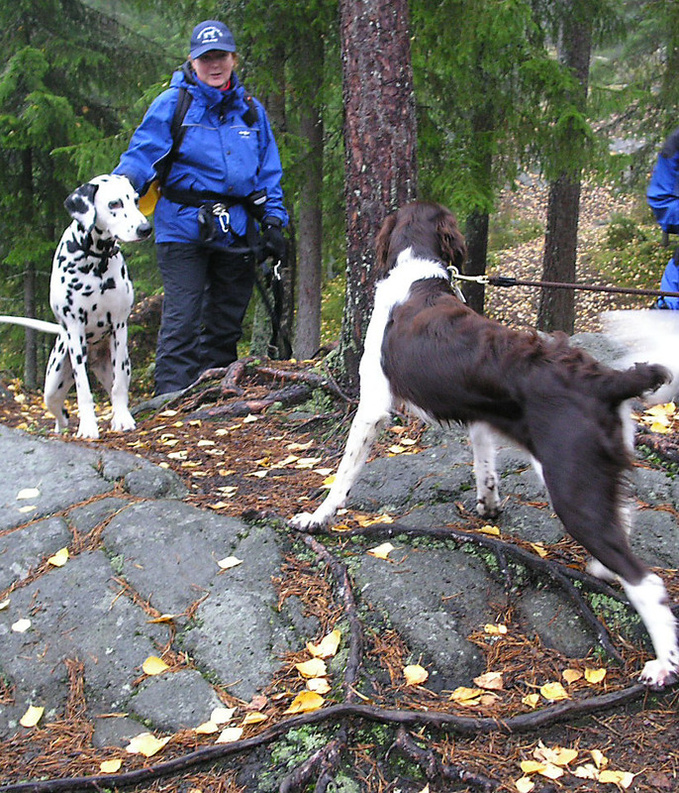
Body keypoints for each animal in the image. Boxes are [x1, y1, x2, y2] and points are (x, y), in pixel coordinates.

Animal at [42, 174, 152, 439]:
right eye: (114, 204)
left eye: (135, 200)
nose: (145, 229)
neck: (95, 261)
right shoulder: (75, 329)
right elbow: (83, 390)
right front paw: (88, 426)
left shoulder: (120, 325)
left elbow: (119, 387)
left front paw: (122, 420)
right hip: (53, 382)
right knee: (60, 412)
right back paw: (61, 428)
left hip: (114, 366)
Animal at [292, 200, 679, 688]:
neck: (418, 274)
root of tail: (607, 378)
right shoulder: (479, 414)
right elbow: (484, 462)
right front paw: (488, 505)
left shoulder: (373, 404)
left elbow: (342, 474)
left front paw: (317, 518)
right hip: (595, 472)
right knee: (624, 519)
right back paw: (601, 570)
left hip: (572, 488)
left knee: (647, 582)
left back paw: (662, 664)